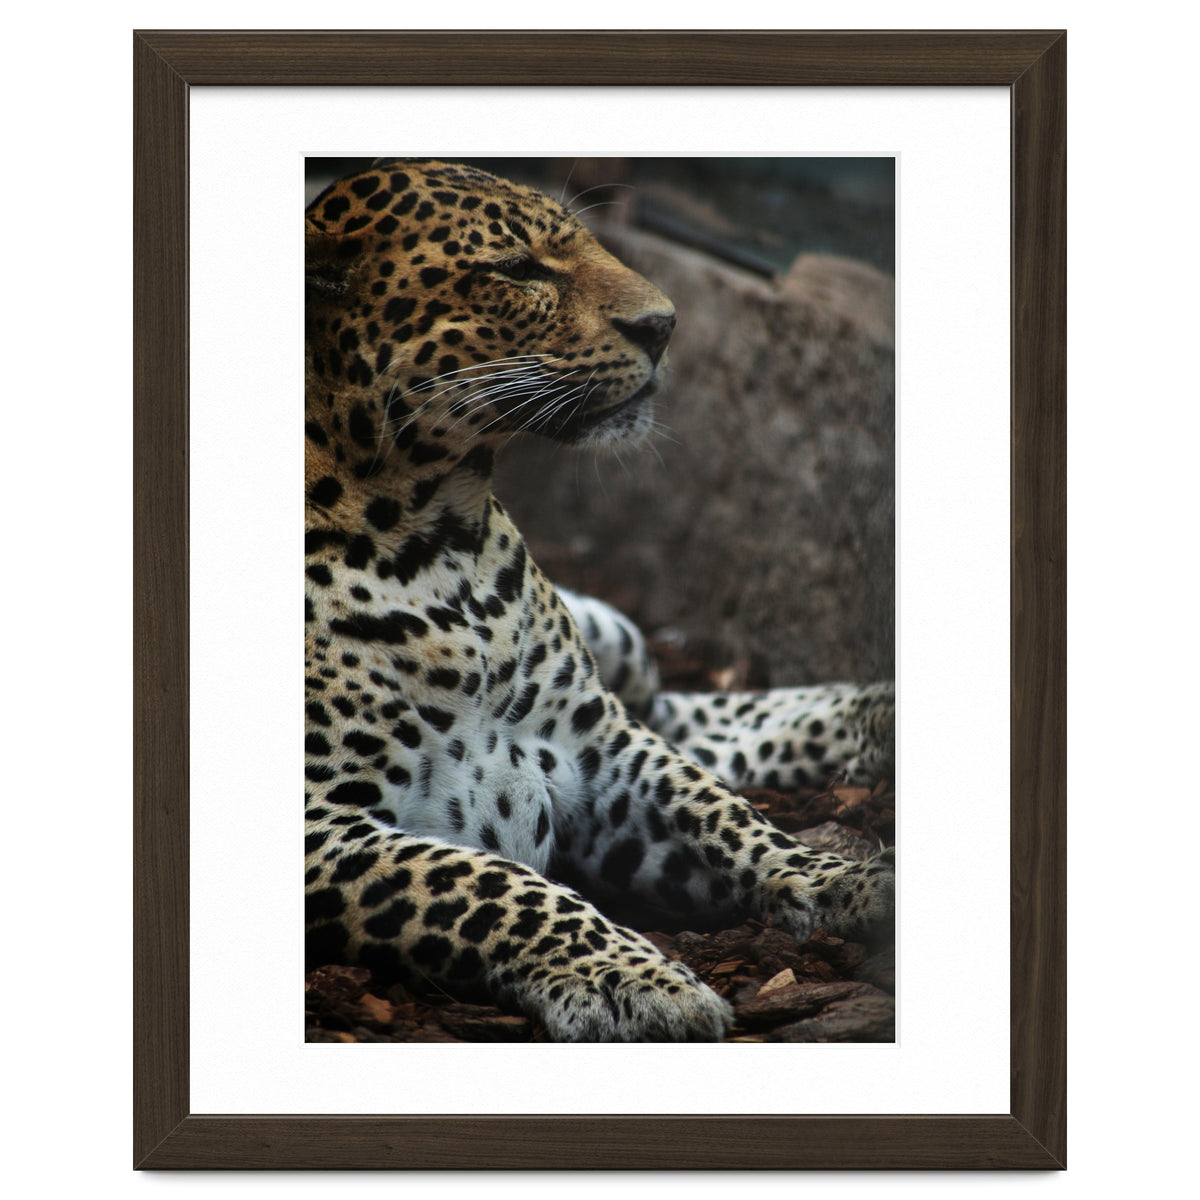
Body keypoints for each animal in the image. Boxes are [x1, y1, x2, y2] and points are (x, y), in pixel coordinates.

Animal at [304, 159, 896, 1041]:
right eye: (517, 269)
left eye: (583, 242)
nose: (665, 325)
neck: (439, 539)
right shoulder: (319, 825)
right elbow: (489, 884)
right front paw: (635, 980)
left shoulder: (598, 747)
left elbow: (724, 814)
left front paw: (846, 881)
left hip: (619, 650)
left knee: (681, 715)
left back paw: (877, 713)